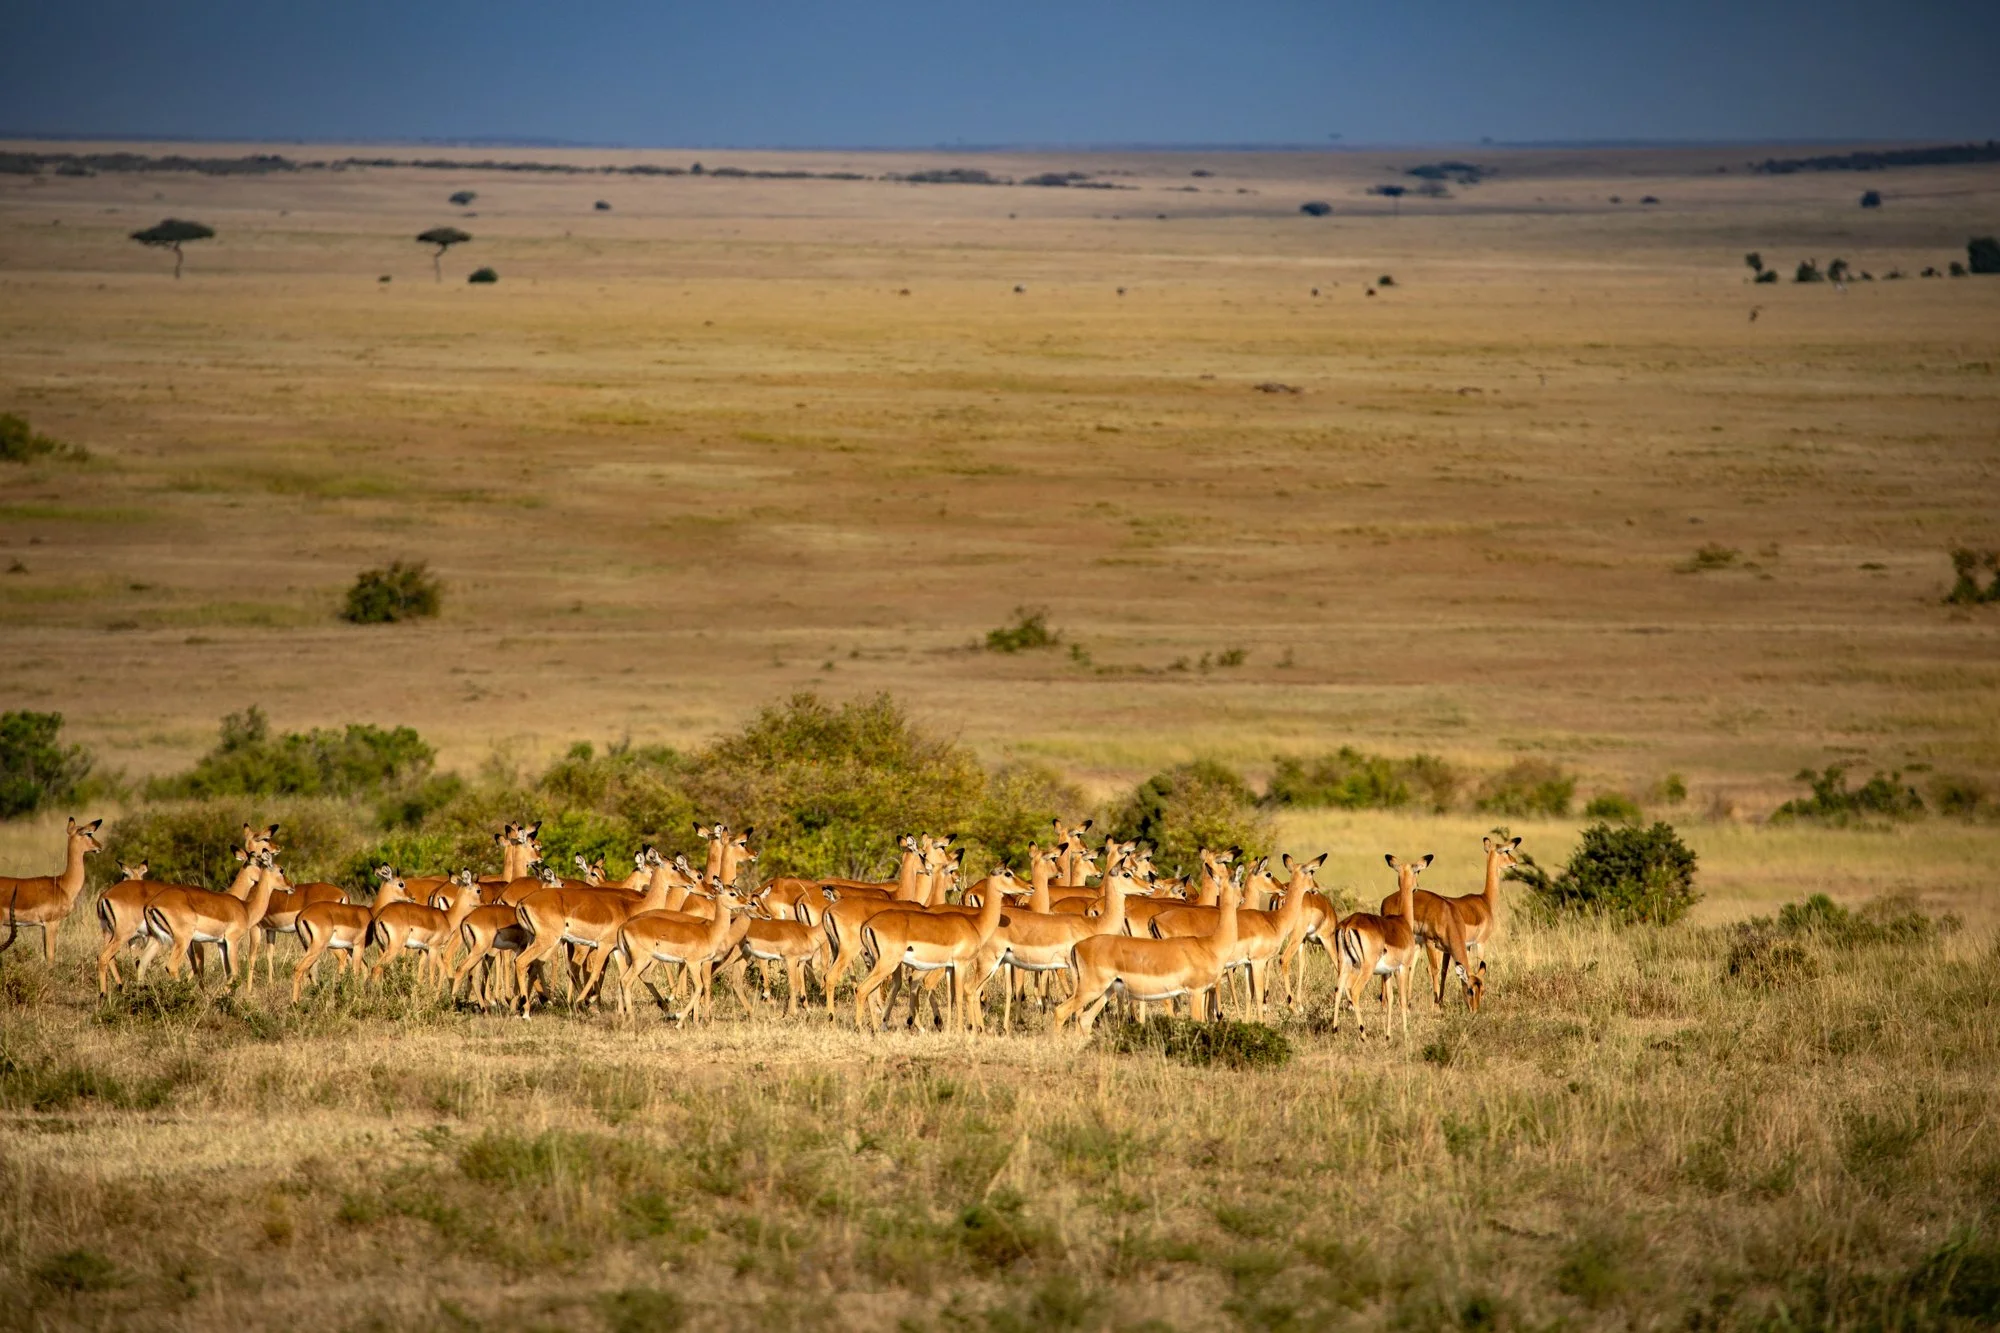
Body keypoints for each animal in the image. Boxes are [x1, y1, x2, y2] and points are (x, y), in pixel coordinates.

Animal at [0, 816, 105, 962]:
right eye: (89, 833)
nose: (100, 846)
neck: (62, 885)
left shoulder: (43, 926)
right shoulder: (51, 923)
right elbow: (50, 957)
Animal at [144, 848, 283, 987]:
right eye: (259, 863)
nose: (288, 885)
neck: (245, 908)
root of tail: (152, 904)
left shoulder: (219, 943)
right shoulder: (227, 941)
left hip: (160, 939)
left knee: (142, 962)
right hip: (182, 940)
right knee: (171, 966)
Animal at [1052, 860, 1242, 1034]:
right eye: (1237, 881)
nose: (1241, 899)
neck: (1211, 944)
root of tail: (1078, 947)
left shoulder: (1201, 992)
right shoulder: (1195, 992)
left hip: (1105, 990)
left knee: (1084, 1018)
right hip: (1092, 989)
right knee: (1061, 1011)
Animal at [1333, 854, 1434, 1039]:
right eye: (1417, 871)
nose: (1416, 887)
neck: (1403, 921)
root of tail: (1348, 924)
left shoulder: (1386, 972)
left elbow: (1390, 999)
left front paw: (1388, 1035)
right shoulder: (1403, 967)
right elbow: (1401, 999)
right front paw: (1405, 1032)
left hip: (1344, 963)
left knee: (1338, 990)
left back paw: (1335, 1030)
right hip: (1365, 968)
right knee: (1354, 991)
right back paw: (1363, 1034)